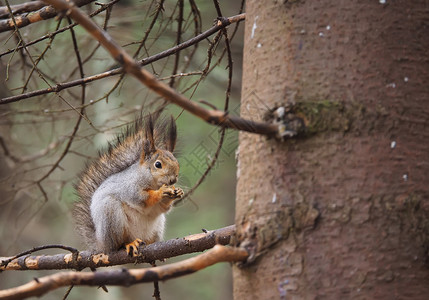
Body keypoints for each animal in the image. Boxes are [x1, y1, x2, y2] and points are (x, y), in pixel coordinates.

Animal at [72, 115, 183, 255]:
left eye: (177, 163)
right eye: (158, 164)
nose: (173, 180)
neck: (151, 181)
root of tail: (101, 244)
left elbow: (163, 208)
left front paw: (177, 192)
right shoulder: (130, 188)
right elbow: (142, 198)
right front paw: (161, 192)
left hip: (158, 226)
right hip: (111, 215)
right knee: (118, 244)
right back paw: (129, 243)